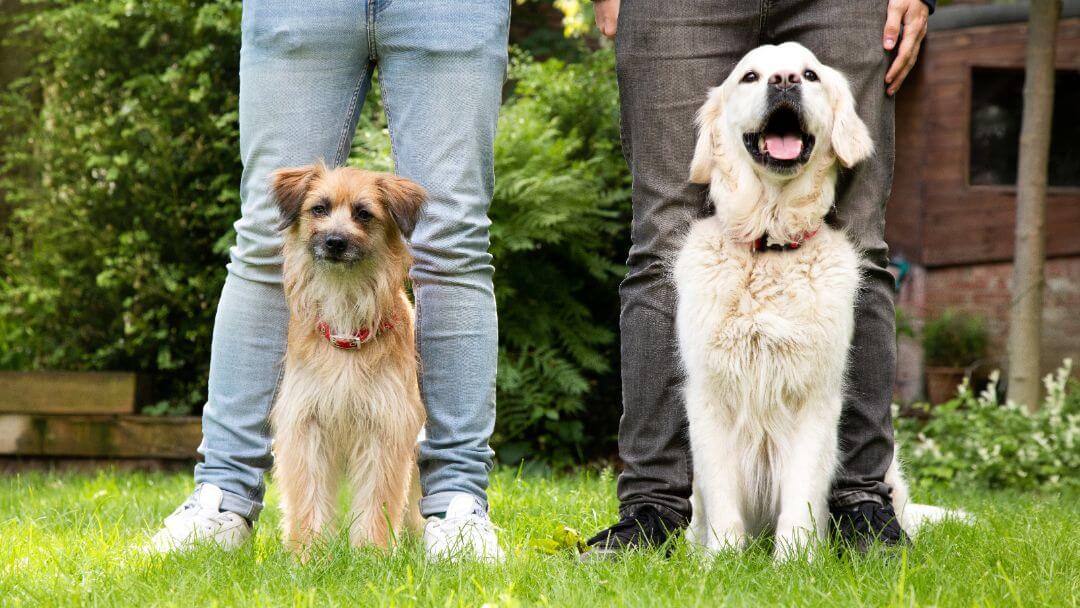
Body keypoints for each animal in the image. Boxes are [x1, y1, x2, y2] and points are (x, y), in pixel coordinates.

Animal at [270, 164, 425, 552]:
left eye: (364, 214)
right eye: (319, 209)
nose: (334, 242)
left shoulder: (385, 428)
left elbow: (377, 499)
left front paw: (371, 553)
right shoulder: (305, 425)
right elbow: (308, 496)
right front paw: (308, 553)